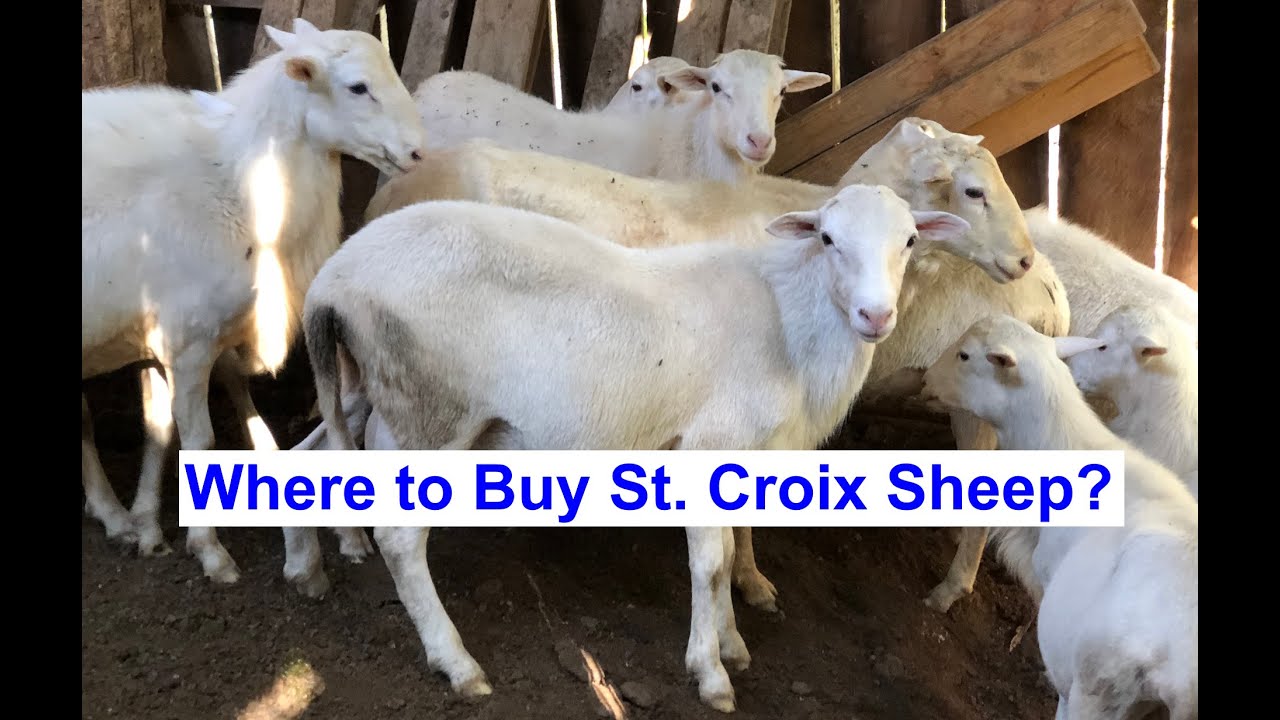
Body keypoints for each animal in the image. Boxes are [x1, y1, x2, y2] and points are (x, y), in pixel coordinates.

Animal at [81, 17, 424, 583]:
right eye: (358, 87)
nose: (419, 152)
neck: (238, 186)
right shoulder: (190, 341)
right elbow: (197, 440)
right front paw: (210, 552)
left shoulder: (160, 336)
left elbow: (159, 431)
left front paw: (149, 527)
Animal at [299, 185, 971, 711]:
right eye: (828, 239)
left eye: (911, 240)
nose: (875, 316)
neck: (789, 323)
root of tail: (333, 277)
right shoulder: (709, 444)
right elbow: (712, 562)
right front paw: (712, 672)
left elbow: (732, 548)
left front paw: (732, 640)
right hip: (430, 413)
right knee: (400, 538)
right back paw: (456, 662)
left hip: (374, 394)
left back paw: (309, 568)